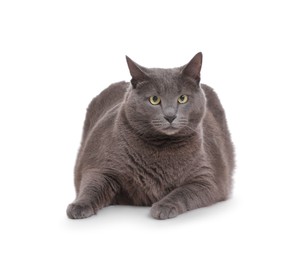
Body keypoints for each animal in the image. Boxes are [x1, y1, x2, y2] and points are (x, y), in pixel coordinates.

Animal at [67, 52, 235, 219]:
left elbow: (183, 192)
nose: (170, 116)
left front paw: (163, 206)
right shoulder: (101, 165)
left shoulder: (206, 179)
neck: (162, 147)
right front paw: (78, 206)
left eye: (182, 98)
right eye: (154, 99)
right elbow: (92, 185)